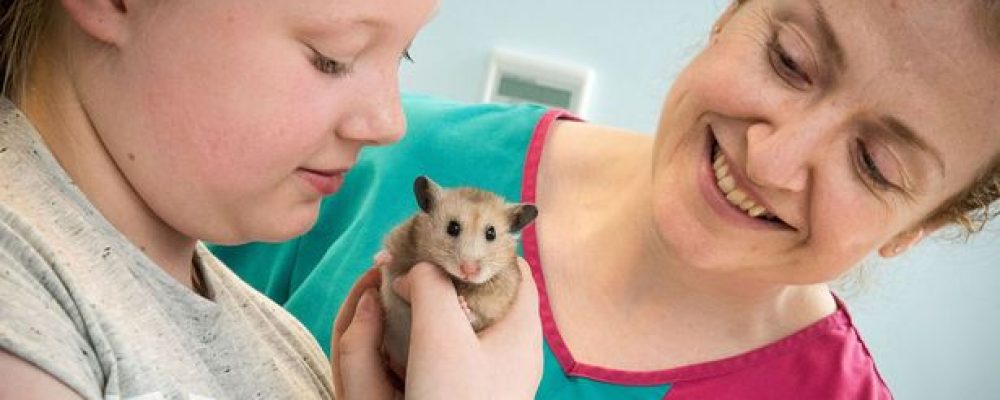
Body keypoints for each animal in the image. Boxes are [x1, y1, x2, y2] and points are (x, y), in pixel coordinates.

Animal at [379, 175, 538, 373]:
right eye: (452, 227)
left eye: (491, 233)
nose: (468, 270)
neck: (458, 281)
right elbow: (392, 264)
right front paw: (381, 257)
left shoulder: (498, 303)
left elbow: (479, 318)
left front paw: (463, 305)